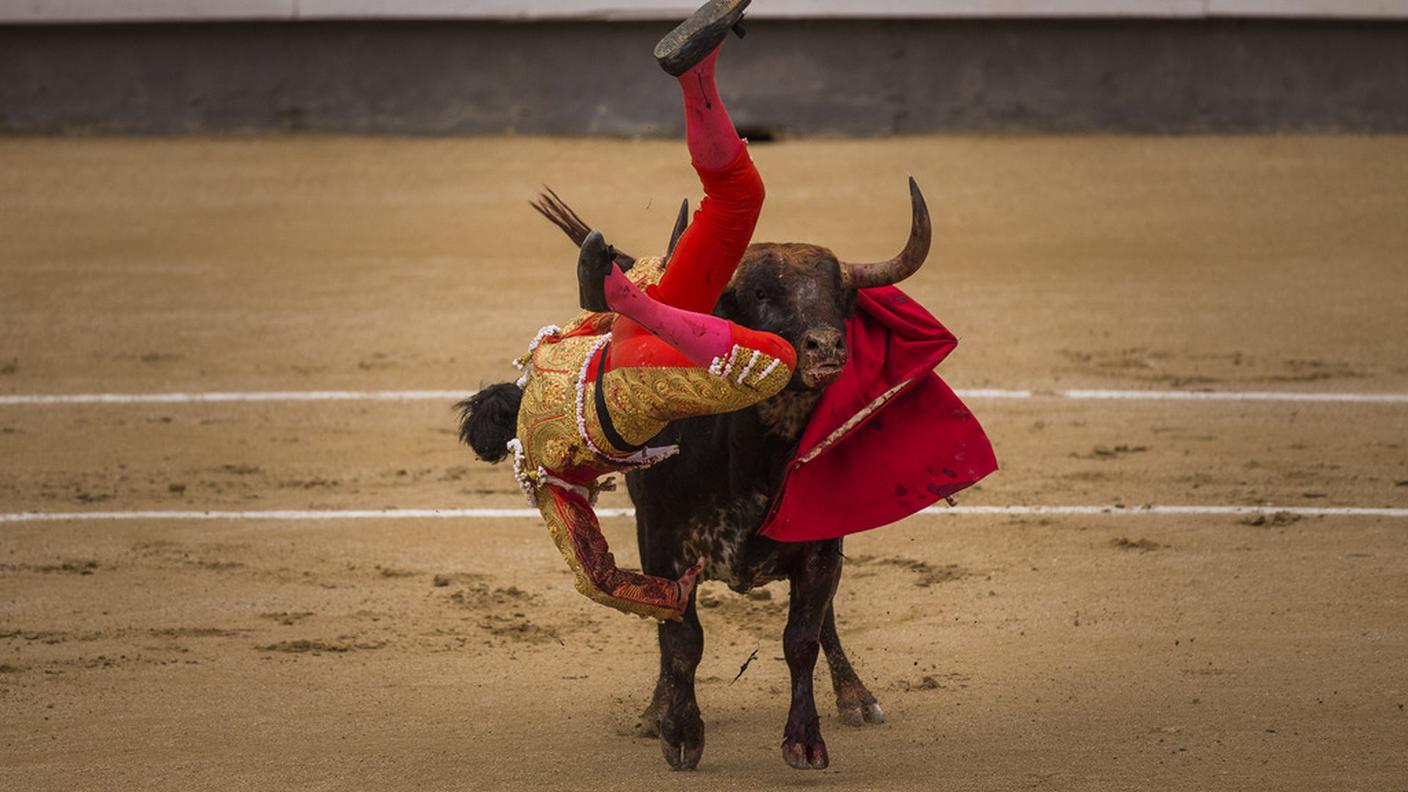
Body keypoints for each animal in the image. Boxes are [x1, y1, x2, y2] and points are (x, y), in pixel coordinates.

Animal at [532, 178, 929, 766]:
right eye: (762, 295)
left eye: (839, 295)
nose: (826, 346)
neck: (754, 460)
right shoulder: (662, 540)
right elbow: (681, 638)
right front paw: (679, 732)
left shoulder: (821, 542)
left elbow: (803, 636)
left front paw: (805, 737)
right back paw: (654, 711)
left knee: (825, 620)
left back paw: (857, 697)